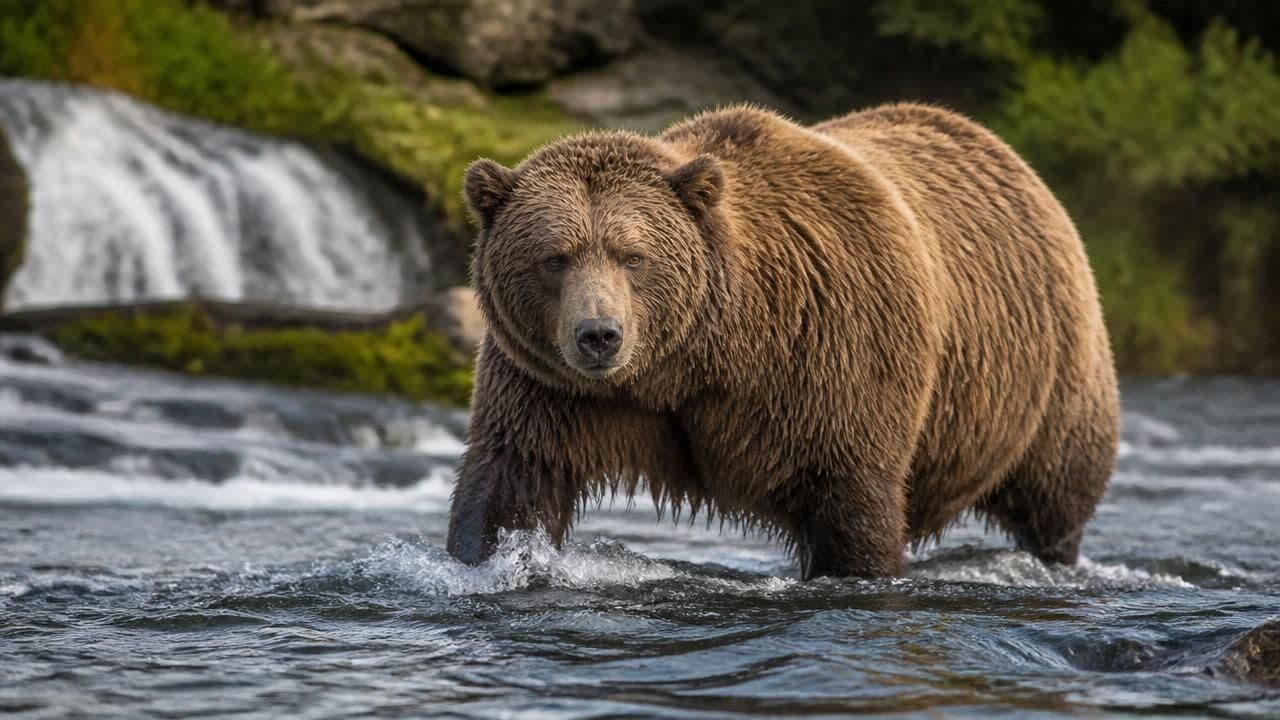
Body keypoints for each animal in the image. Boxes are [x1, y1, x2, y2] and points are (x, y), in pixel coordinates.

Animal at [447, 103, 1120, 579]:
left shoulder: (828, 357)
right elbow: (512, 481)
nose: (599, 336)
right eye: (555, 257)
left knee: (1058, 490)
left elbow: (853, 503)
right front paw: (488, 556)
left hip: (1045, 375)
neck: (691, 362)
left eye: (633, 255)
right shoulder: (549, 388)